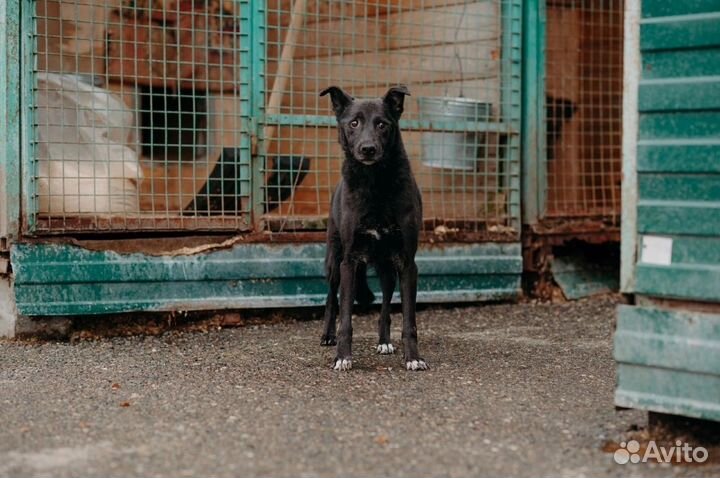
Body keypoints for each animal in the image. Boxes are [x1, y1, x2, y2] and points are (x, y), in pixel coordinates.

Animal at [320, 84, 428, 372]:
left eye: (382, 124)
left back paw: (384, 341)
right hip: (334, 261)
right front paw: (342, 356)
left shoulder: (407, 262)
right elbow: (346, 318)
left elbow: (408, 320)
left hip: (386, 268)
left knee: (386, 305)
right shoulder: (349, 261)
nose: (368, 149)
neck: (375, 183)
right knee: (331, 299)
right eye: (354, 123)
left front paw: (413, 357)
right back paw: (327, 335)